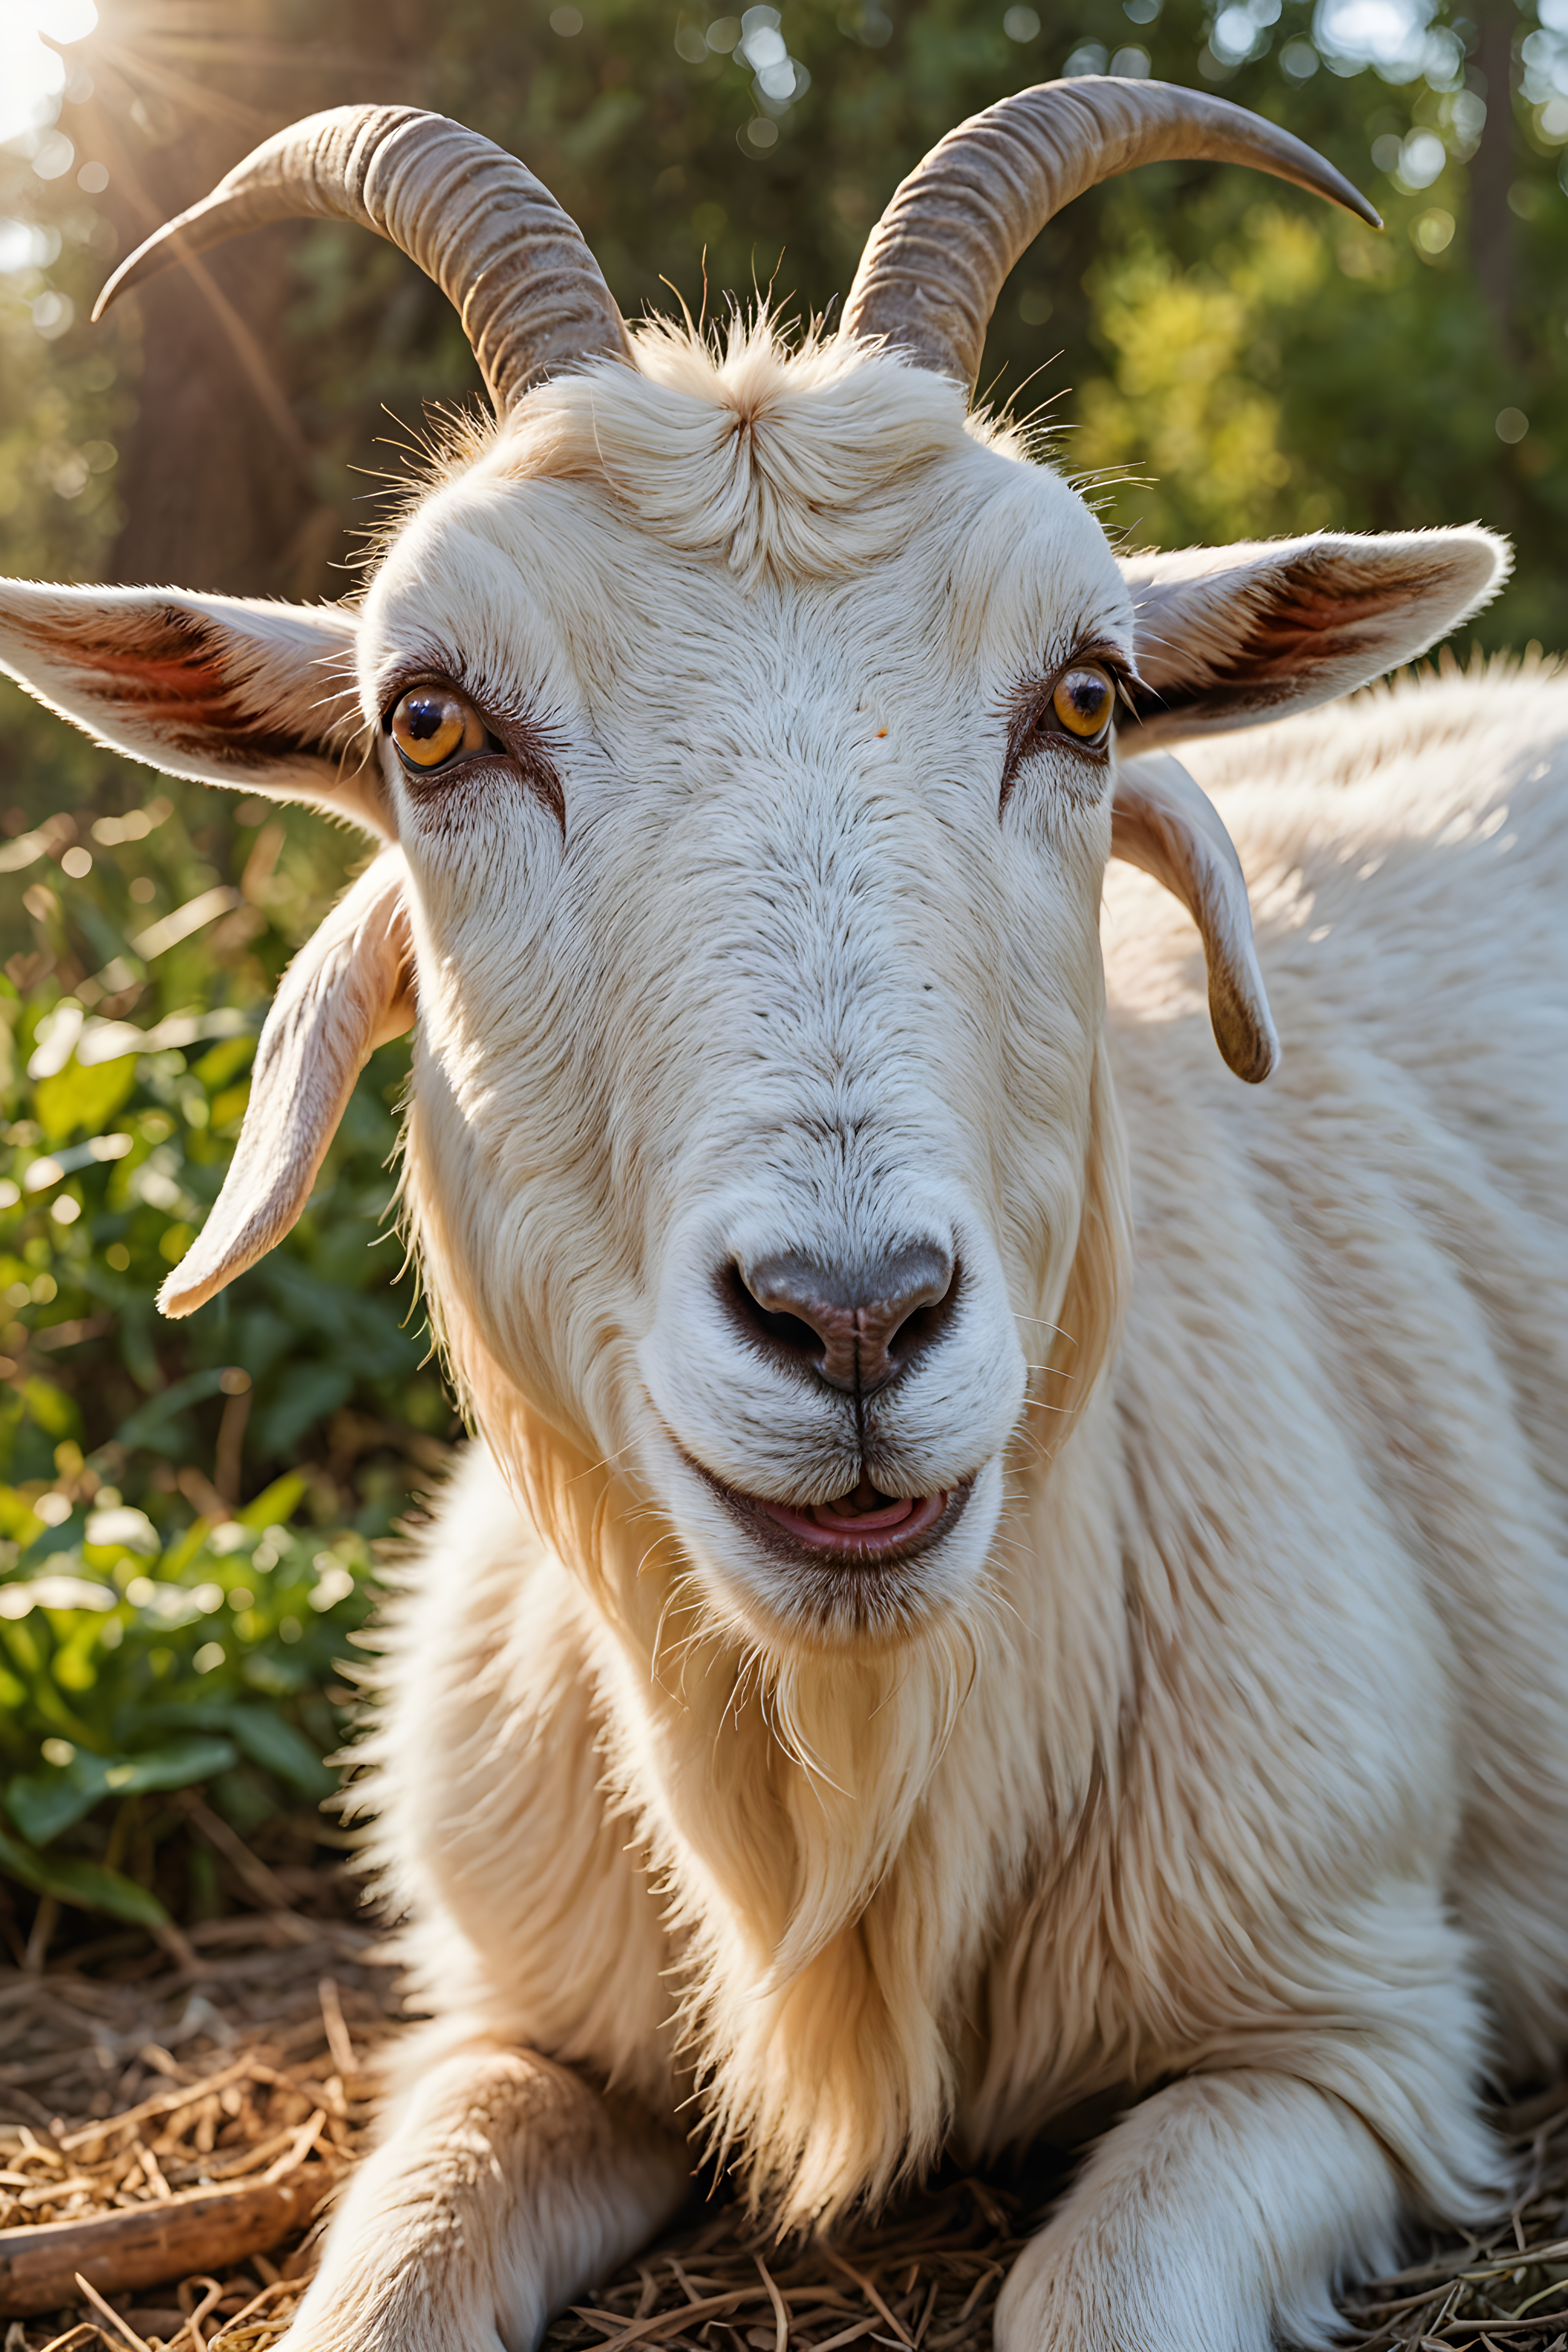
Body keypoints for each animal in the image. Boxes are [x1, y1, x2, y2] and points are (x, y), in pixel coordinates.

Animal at [3, 78, 1565, 2352]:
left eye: (1088, 697)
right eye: (426, 721)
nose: (850, 1317)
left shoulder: (1353, 2026)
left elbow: (1101, 2289)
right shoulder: (520, 2025)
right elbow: (376, 2292)